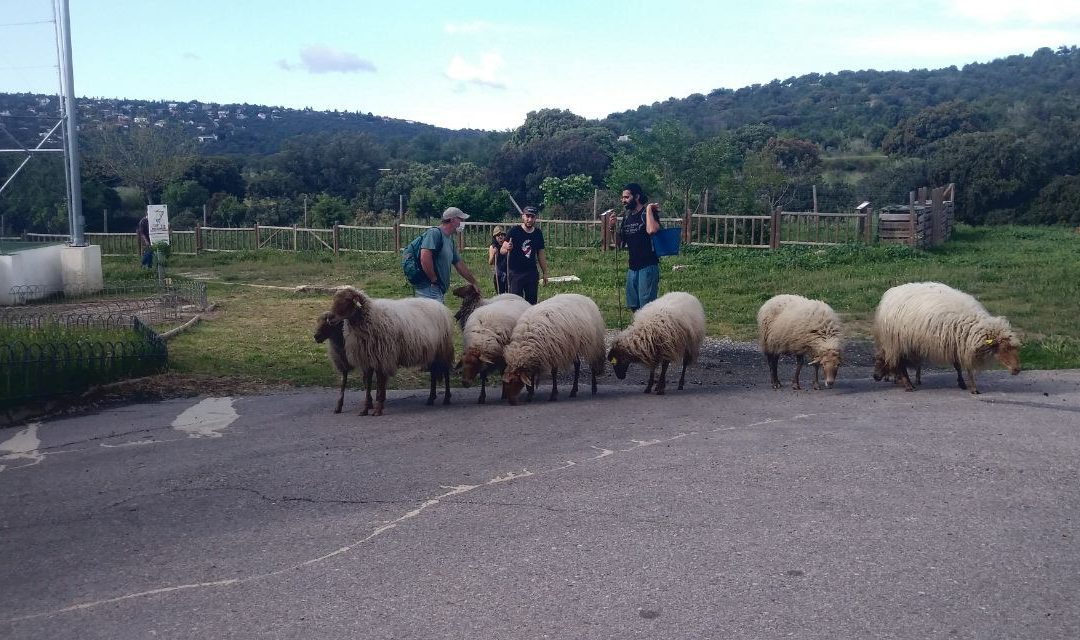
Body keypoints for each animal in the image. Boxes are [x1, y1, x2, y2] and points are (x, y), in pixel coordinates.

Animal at [324, 287, 451, 416]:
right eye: (334, 299)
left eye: (347, 300)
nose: (330, 318)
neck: (371, 316)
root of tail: (438, 304)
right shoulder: (367, 359)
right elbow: (368, 384)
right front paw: (365, 409)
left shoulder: (382, 358)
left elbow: (380, 384)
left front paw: (378, 409)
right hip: (432, 352)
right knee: (434, 373)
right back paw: (431, 399)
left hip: (443, 349)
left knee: (446, 372)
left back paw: (446, 398)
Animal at [868, 280, 1019, 392]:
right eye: (1003, 349)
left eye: (1015, 349)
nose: (1017, 370)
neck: (973, 324)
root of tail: (891, 293)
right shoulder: (959, 343)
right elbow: (966, 367)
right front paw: (972, 387)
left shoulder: (957, 342)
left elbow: (959, 366)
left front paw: (963, 384)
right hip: (896, 342)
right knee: (899, 364)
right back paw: (908, 385)